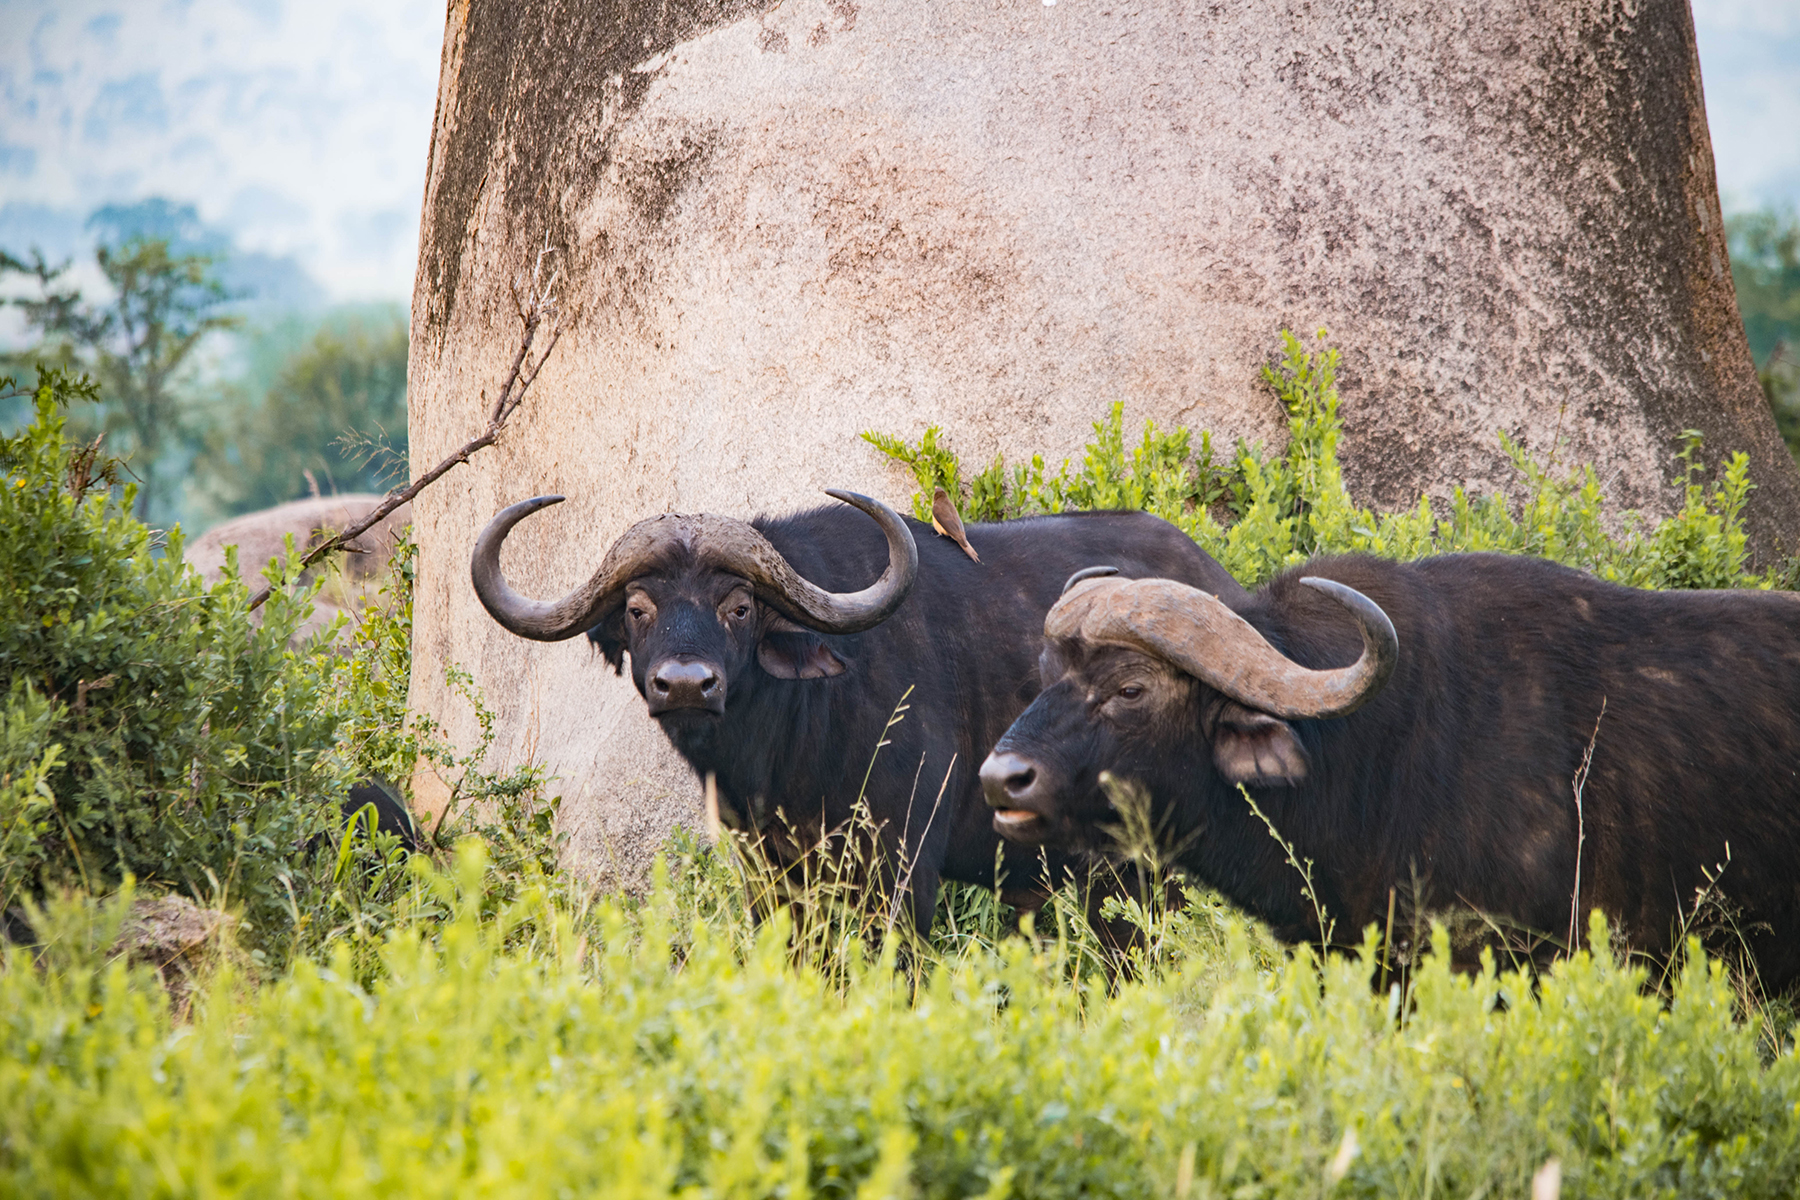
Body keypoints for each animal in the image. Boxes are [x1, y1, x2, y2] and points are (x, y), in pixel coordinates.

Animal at [471, 489, 1245, 928]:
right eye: (638, 609)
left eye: (739, 606)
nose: (686, 684)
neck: (787, 747)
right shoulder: (771, 874)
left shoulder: (902, 869)